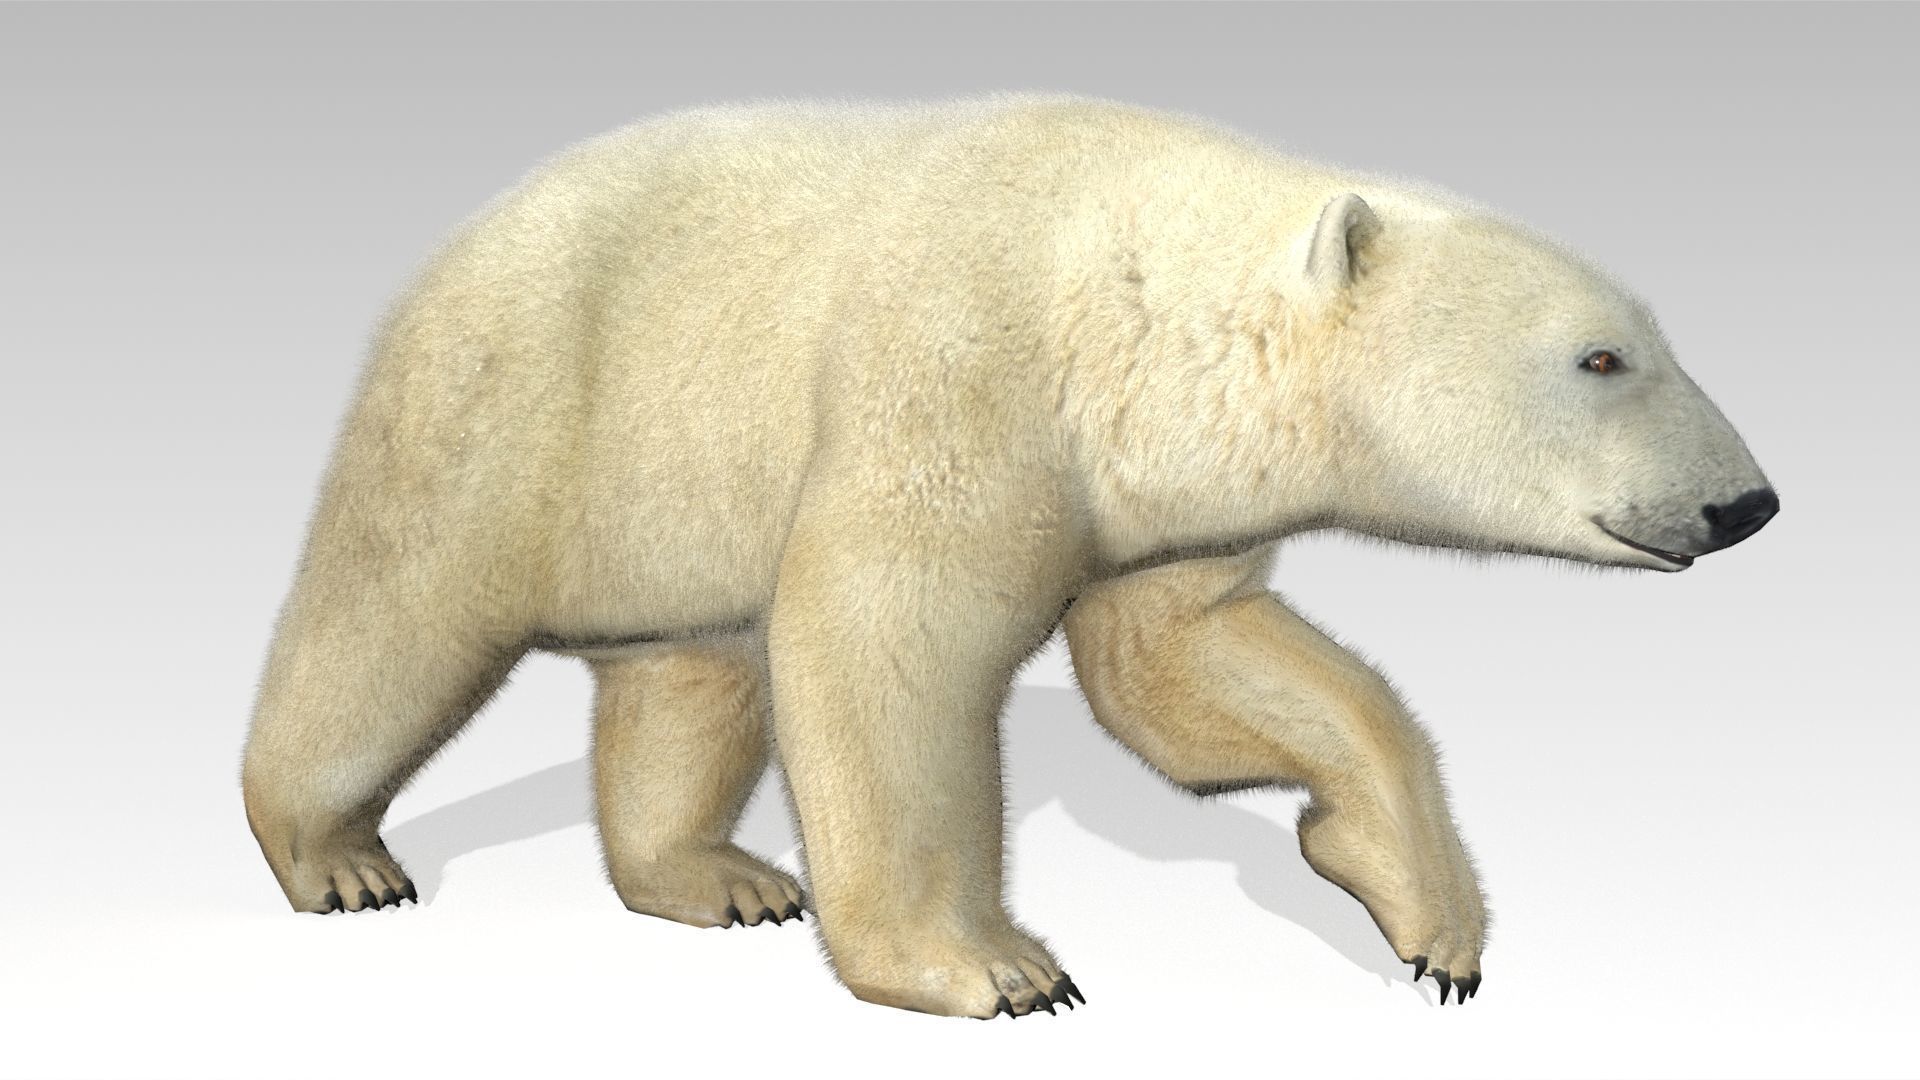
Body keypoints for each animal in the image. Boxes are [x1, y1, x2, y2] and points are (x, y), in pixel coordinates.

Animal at [240, 94, 1779, 1019]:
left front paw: (1429, 921)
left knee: (689, 671)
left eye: (1651, 338)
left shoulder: (1158, 488)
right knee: (394, 617)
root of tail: (454, 246)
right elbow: (885, 641)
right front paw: (992, 968)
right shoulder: (960, 367)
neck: (1123, 293)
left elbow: (1185, 667)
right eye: (1601, 358)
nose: (1748, 505)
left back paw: (717, 878)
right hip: (518, 401)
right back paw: (338, 858)